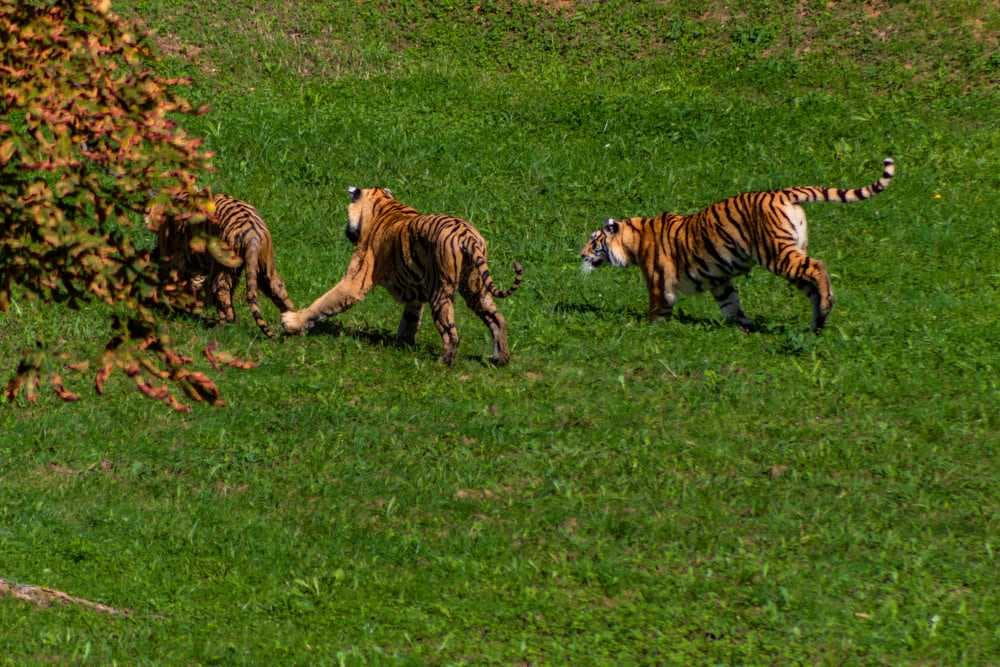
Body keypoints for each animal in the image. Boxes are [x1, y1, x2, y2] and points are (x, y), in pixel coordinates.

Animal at [153, 193, 295, 337]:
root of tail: (252, 235)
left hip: (224, 266)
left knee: (222, 293)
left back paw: (221, 327)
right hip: (265, 267)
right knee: (279, 291)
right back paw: (293, 324)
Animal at [281, 187, 523, 366]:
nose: (346, 231)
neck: (383, 204)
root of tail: (468, 236)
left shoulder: (354, 281)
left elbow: (324, 302)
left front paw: (292, 322)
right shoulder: (416, 291)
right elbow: (410, 318)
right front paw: (403, 343)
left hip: (442, 293)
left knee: (451, 333)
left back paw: (443, 362)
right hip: (476, 287)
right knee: (497, 319)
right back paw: (500, 359)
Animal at [579, 158, 895, 333]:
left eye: (594, 241)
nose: (580, 255)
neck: (633, 240)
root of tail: (781, 193)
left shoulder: (659, 282)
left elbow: (657, 310)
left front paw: (646, 331)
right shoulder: (720, 281)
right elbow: (732, 307)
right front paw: (746, 328)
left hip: (778, 253)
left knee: (819, 266)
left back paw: (826, 307)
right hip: (791, 255)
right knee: (811, 282)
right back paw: (818, 322)